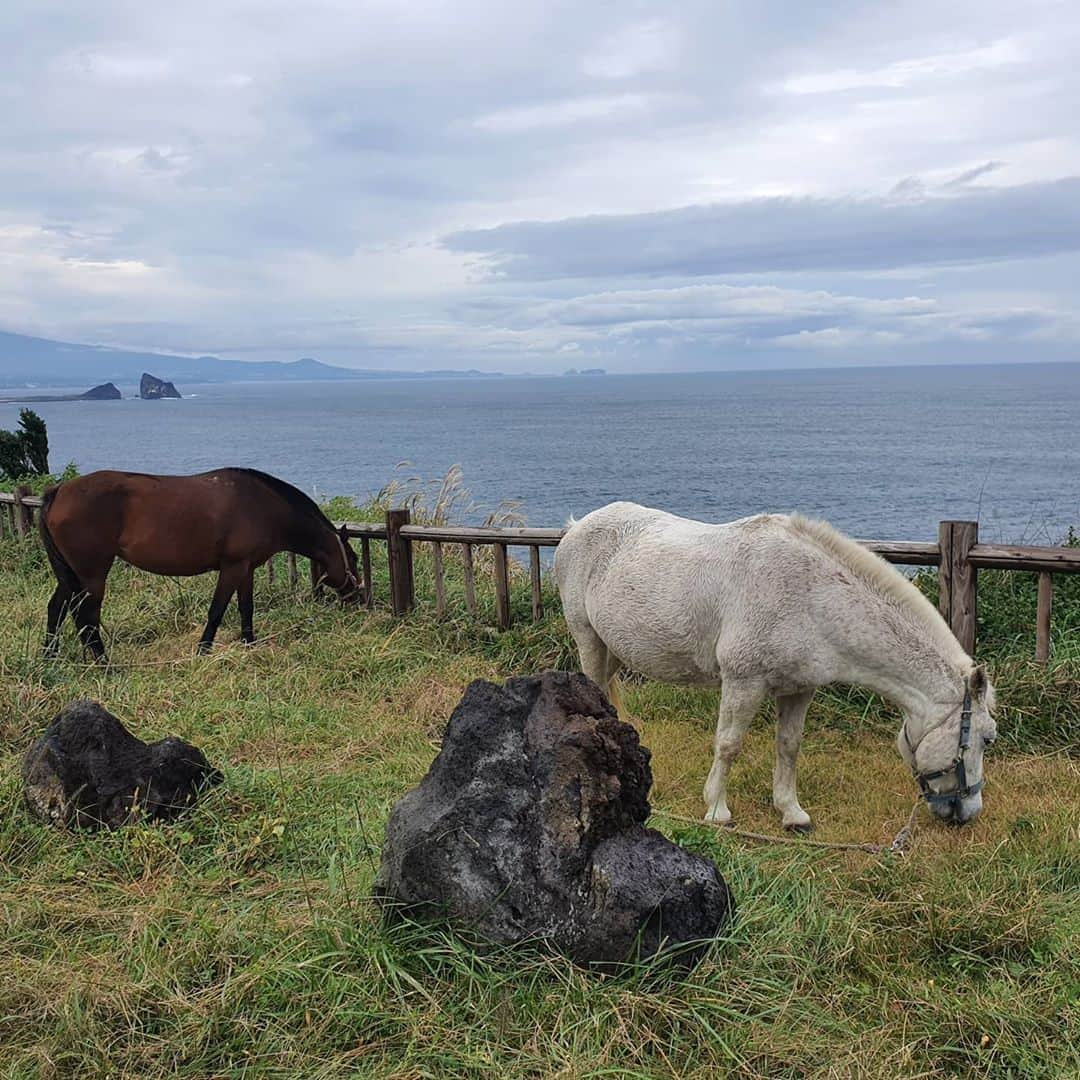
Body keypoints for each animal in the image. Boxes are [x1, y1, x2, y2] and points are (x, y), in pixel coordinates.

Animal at [41, 468, 362, 660]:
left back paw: (50, 657)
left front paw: (249, 643)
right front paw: (203, 650)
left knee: (58, 608)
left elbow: (246, 607)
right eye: (354, 559)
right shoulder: (232, 567)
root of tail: (59, 491)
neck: (262, 506)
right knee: (86, 615)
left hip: (71, 574)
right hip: (92, 574)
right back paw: (104, 663)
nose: (357, 597)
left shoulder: (246, 568)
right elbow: (217, 610)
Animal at [552, 503, 997, 825]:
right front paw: (717, 810)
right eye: (988, 739)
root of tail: (576, 527)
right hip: (587, 637)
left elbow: (789, 746)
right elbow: (729, 744)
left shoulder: (799, 690)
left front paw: (791, 812)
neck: (811, 596)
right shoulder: (742, 682)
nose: (968, 813)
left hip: (612, 647)